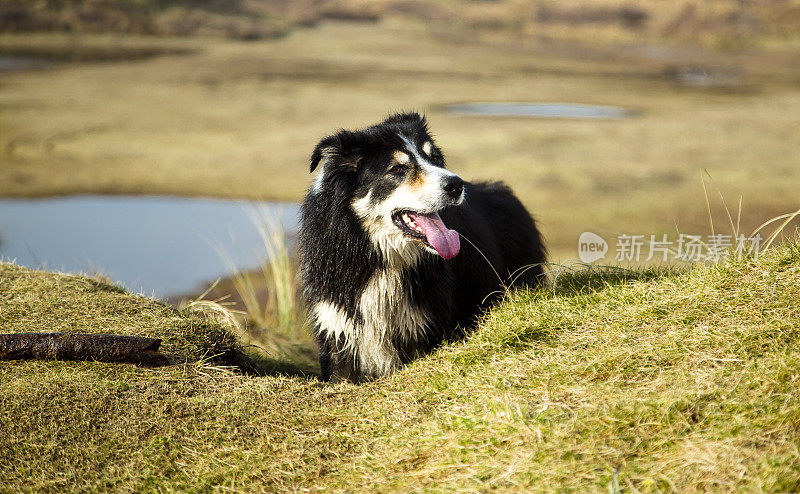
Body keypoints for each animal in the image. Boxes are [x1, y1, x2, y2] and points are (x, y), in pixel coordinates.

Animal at [296, 112, 548, 382]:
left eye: (434, 158)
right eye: (397, 169)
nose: (456, 185)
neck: (381, 256)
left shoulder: (424, 328)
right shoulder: (337, 330)